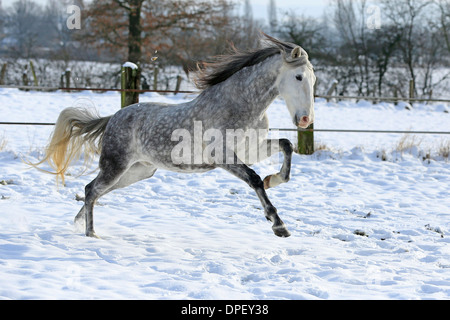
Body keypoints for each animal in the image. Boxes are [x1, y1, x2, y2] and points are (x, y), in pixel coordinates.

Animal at [33, 34, 316, 238]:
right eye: (298, 77)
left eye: (313, 80)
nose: (305, 120)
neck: (239, 105)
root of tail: (113, 117)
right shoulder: (222, 156)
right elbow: (255, 180)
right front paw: (279, 225)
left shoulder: (250, 149)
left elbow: (286, 146)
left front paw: (274, 180)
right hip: (116, 167)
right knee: (92, 190)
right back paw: (91, 233)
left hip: (137, 172)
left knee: (94, 191)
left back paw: (77, 225)